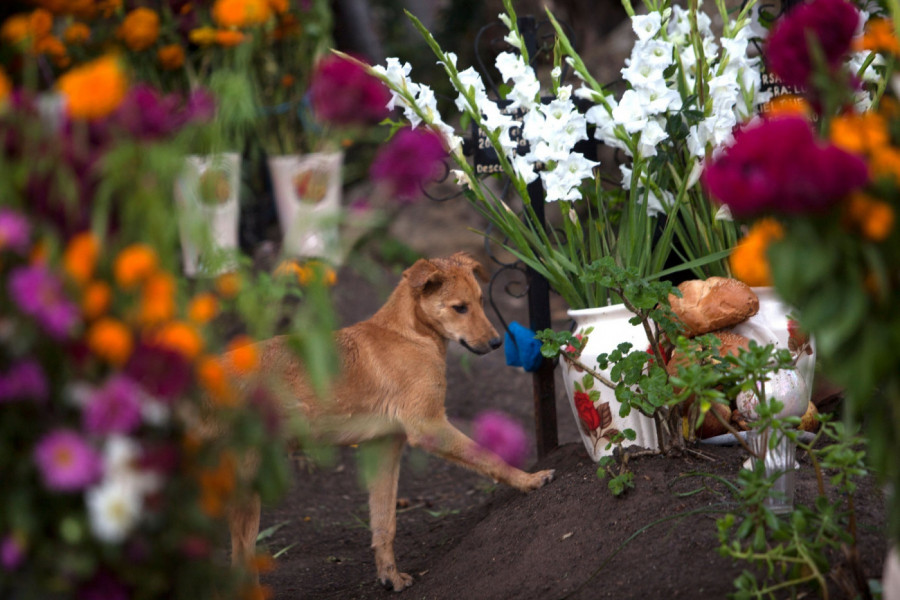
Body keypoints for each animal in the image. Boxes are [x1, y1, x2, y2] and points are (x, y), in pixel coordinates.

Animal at [227, 252, 556, 592]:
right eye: (459, 307)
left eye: (480, 300)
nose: (495, 343)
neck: (410, 335)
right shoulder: (428, 425)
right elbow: (490, 458)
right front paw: (530, 480)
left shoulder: (383, 446)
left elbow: (384, 523)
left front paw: (390, 576)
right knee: (240, 560)